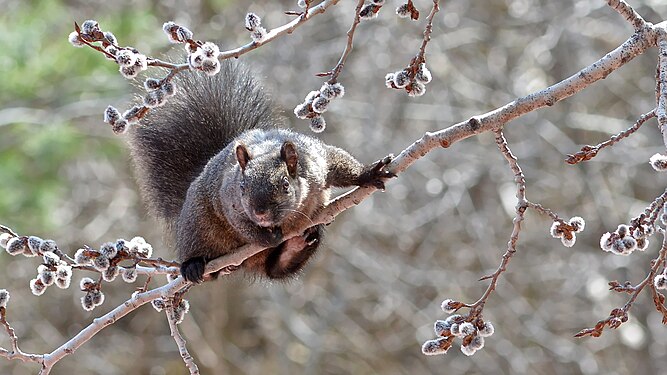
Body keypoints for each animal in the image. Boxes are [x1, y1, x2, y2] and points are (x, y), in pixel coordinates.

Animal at [128, 61, 394, 284]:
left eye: (285, 185)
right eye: (242, 187)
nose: (260, 213)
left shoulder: (316, 162)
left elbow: (339, 163)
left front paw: (369, 174)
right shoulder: (228, 198)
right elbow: (239, 221)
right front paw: (266, 237)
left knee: (278, 267)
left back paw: (297, 243)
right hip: (196, 225)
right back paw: (194, 266)